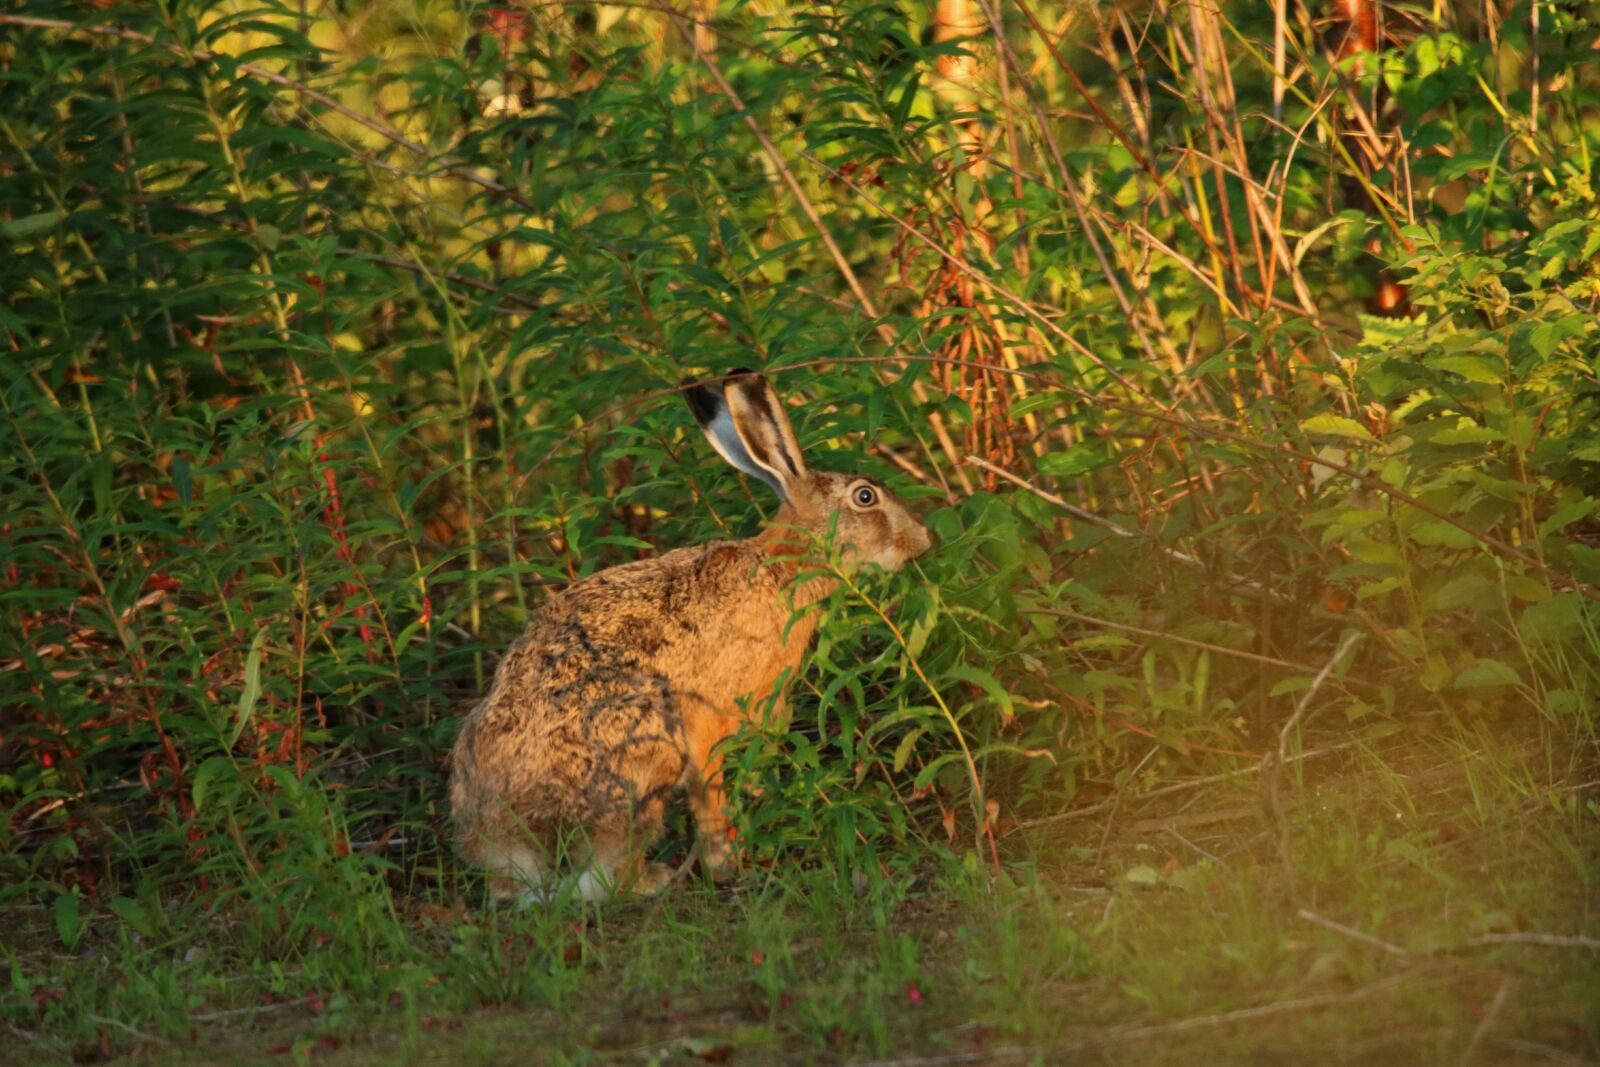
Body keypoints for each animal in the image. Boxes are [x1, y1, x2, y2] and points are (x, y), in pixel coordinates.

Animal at [449, 369, 933, 904]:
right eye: (865, 497)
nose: (922, 540)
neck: (786, 565)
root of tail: (509, 842)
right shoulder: (711, 722)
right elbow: (712, 796)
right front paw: (726, 865)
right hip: (644, 758)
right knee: (603, 878)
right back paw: (657, 879)